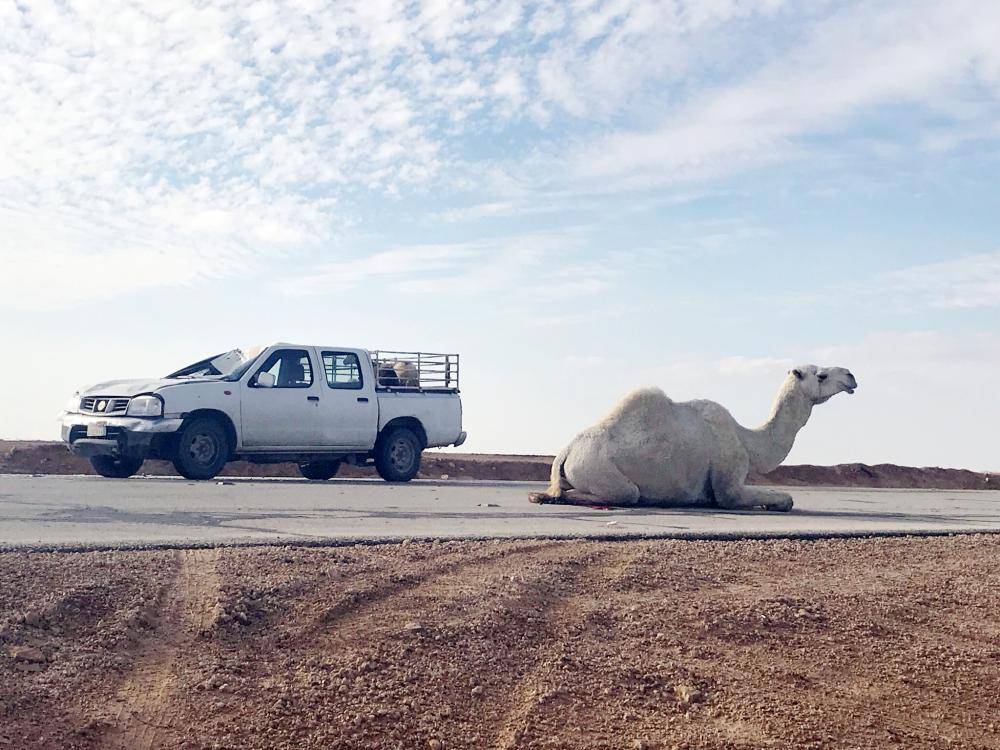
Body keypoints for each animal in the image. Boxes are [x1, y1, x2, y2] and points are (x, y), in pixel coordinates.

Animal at [532, 368, 860, 516]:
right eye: (821, 375)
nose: (851, 376)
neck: (747, 440)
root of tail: (565, 452)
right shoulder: (728, 481)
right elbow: (774, 499)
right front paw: (775, 504)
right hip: (597, 468)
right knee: (625, 494)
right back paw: (549, 496)